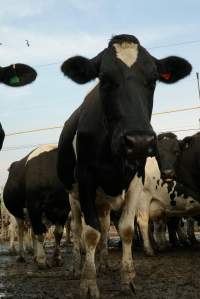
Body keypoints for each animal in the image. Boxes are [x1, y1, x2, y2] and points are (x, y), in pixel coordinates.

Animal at [57, 34, 191, 298]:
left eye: (153, 80)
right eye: (104, 79)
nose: (139, 141)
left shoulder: (136, 178)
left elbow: (127, 228)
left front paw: (127, 278)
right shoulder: (85, 178)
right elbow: (90, 233)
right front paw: (89, 283)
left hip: (103, 201)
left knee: (104, 224)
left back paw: (103, 263)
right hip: (72, 196)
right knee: (77, 229)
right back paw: (77, 267)